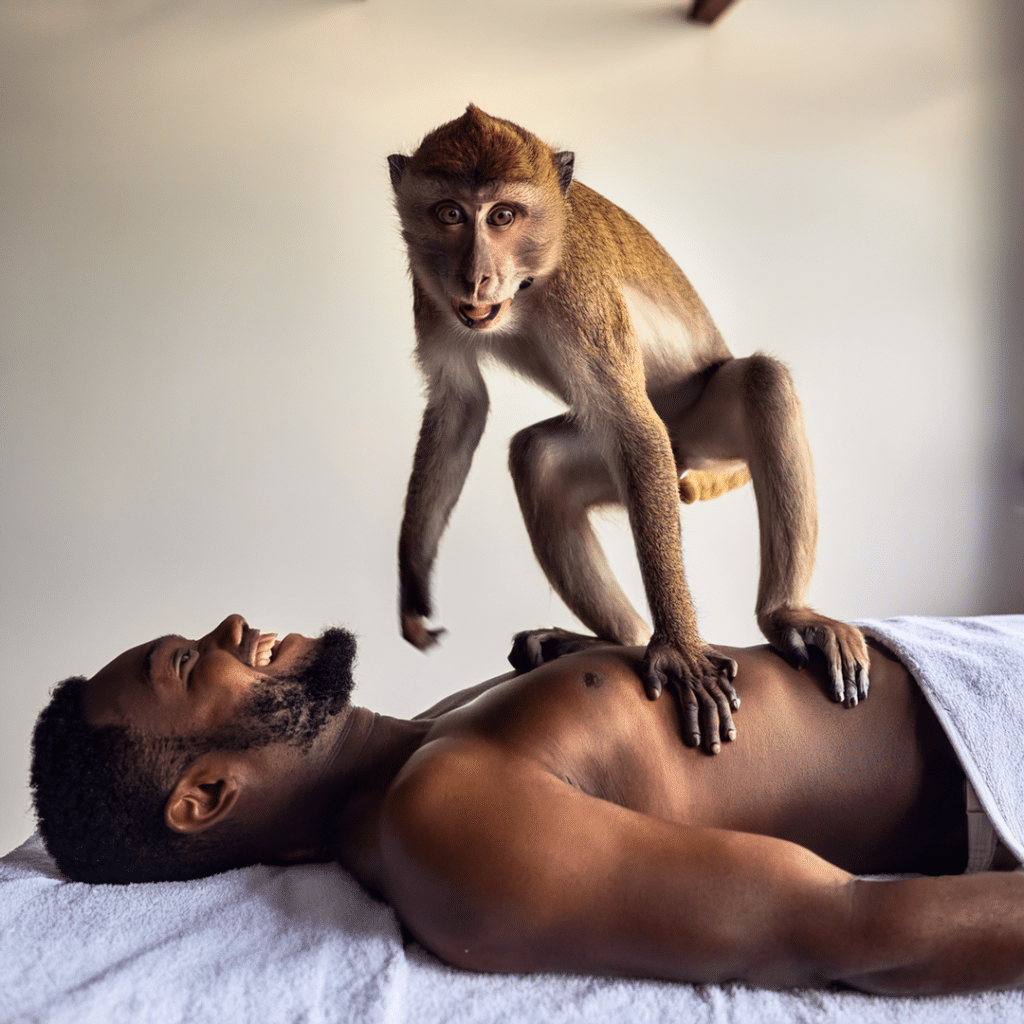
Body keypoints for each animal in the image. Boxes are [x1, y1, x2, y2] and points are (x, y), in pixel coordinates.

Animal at [388, 106, 869, 752]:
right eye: (450, 213)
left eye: (503, 215)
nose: (476, 276)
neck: (531, 283)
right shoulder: (429, 285)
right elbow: (460, 404)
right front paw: (413, 581)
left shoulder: (581, 293)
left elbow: (634, 427)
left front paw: (683, 651)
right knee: (537, 458)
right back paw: (616, 639)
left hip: (695, 432)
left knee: (758, 385)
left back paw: (785, 615)